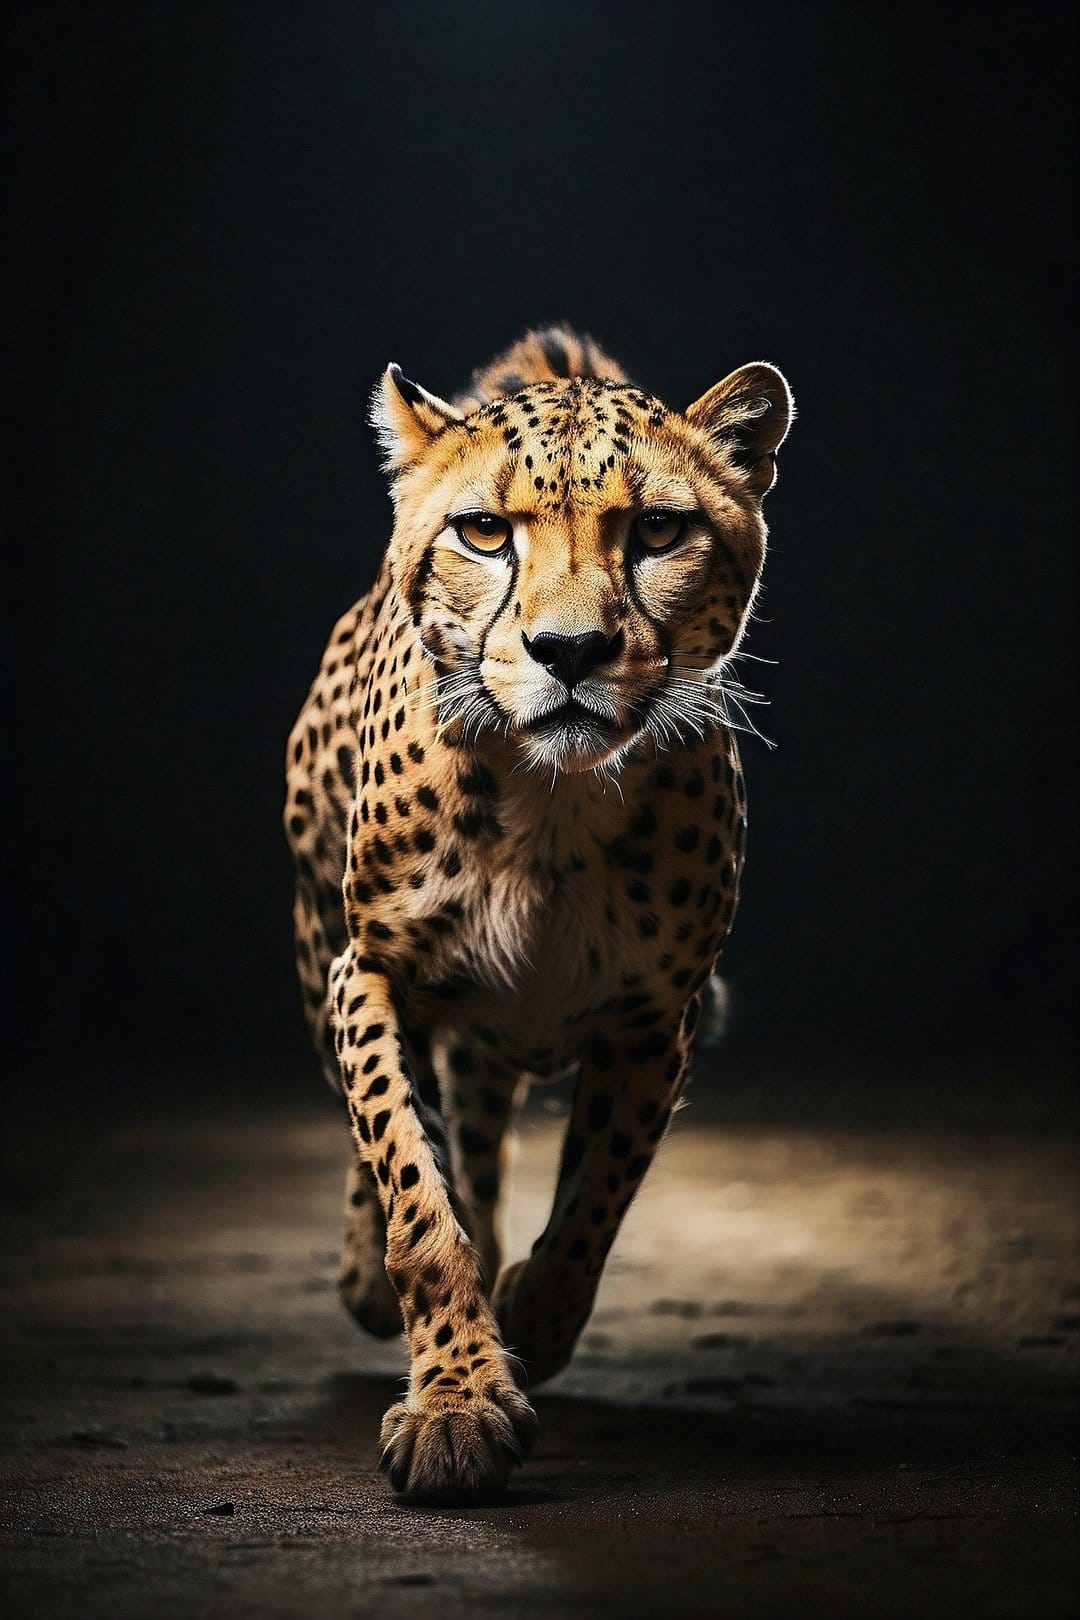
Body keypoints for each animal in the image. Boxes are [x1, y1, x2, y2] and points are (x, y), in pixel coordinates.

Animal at [284, 324, 793, 1501]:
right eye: (484, 532)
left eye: (658, 529)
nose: (570, 653)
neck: (549, 806)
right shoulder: (371, 971)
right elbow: (412, 1187)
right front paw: (457, 1402)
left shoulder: (655, 1016)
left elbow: (594, 1201)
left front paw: (530, 1319)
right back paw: (366, 1280)